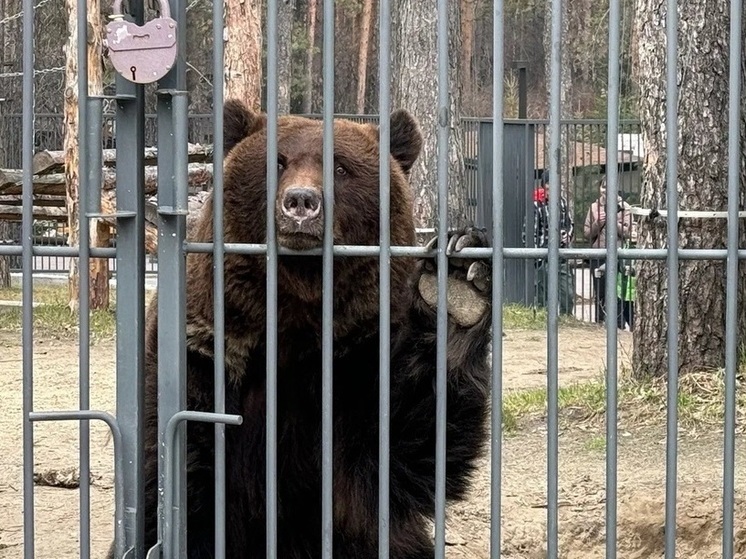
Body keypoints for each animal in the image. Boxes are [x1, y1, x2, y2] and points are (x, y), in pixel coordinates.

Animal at [125, 100, 494, 559]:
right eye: (278, 161)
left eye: (340, 166)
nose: (300, 201)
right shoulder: (206, 352)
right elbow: (183, 470)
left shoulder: (360, 363)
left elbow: (411, 442)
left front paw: (459, 278)